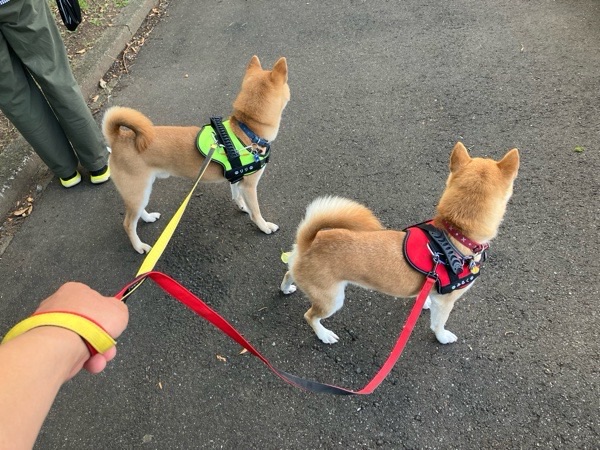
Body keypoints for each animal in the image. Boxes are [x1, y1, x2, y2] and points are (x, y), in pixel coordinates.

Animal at [102, 56, 290, 253]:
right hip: (137, 189)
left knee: (137, 212)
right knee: (128, 223)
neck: (247, 129)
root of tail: (119, 138)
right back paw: (139, 246)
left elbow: (236, 194)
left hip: (141, 190)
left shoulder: (238, 178)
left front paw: (241, 205)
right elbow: (256, 212)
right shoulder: (250, 186)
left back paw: (148, 217)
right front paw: (264, 226)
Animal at [280, 142, 519, 345]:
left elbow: (426, 297)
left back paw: (286, 288)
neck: (455, 231)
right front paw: (442, 336)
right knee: (310, 316)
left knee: (289, 272)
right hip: (332, 299)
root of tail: (308, 242)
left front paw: (424, 302)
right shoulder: (446, 301)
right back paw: (324, 334)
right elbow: (438, 323)